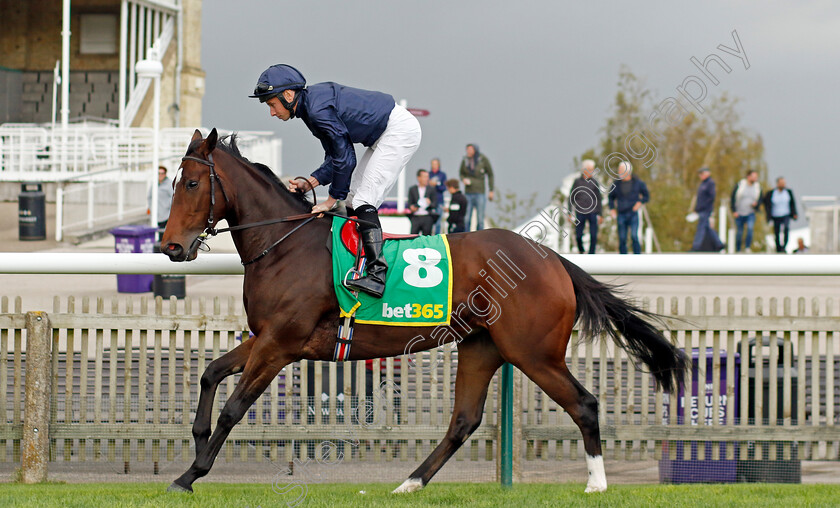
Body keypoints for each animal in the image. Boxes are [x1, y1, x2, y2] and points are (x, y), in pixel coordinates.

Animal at [161, 129, 684, 494]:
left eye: (192, 183)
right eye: (173, 183)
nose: (171, 247)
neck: (284, 244)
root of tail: (552, 258)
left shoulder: (280, 345)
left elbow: (234, 407)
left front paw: (191, 473)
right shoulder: (266, 337)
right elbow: (210, 374)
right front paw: (196, 443)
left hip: (533, 353)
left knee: (584, 404)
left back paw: (596, 483)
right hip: (482, 348)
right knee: (463, 420)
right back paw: (409, 482)